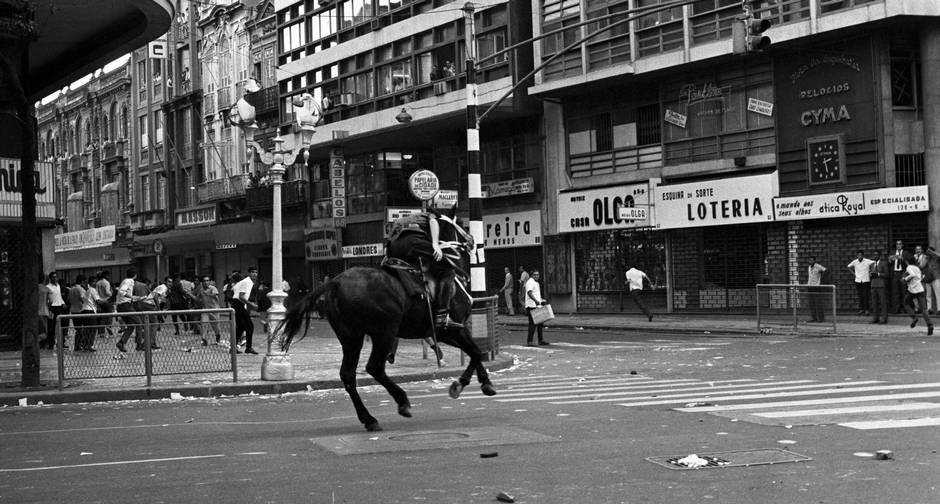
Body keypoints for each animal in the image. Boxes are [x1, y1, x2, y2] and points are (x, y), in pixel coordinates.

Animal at [280, 260, 496, 430]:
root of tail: (335, 283)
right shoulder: (452, 329)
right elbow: (476, 352)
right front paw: (461, 384)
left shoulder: (445, 333)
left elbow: (474, 352)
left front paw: (483, 383)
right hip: (385, 331)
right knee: (374, 367)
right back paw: (402, 402)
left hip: (351, 337)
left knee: (348, 374)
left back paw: (369, 419)